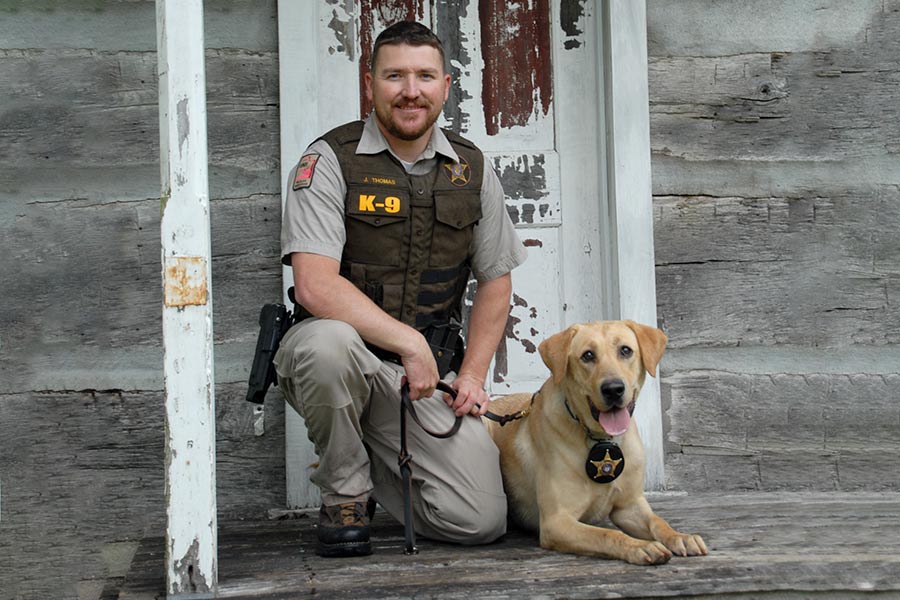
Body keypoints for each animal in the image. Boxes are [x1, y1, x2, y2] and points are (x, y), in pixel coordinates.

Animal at [488, 322, 708, 564]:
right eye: (588, 355)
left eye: (625, 350)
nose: (613, 389)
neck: (603, 439)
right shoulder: (557, 522)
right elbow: (608, 534)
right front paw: (640, 546)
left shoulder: (630, 505)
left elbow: (657, 521)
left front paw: (680, 536)